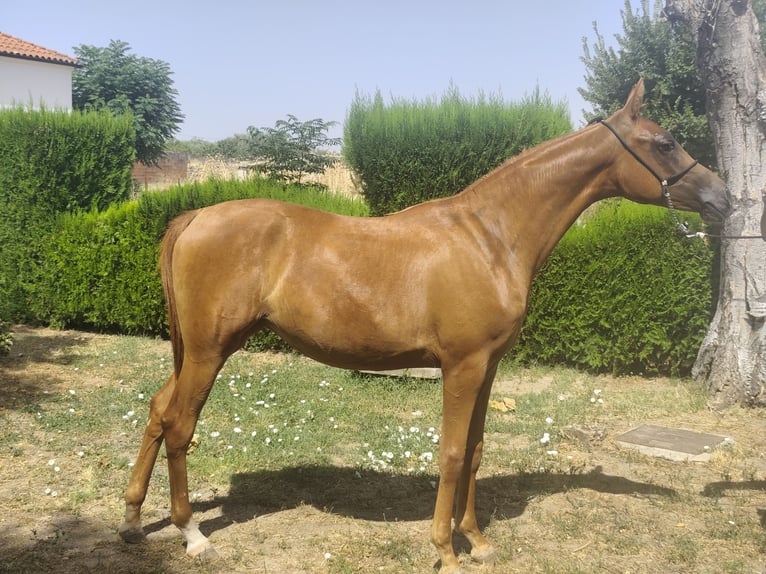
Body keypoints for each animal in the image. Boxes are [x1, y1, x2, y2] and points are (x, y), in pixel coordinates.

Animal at [119, 79, 729, 573]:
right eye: (664, 142)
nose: (722, 196)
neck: (490, 236)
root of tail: (195, 216)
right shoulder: (462, 366)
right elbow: (453, 452)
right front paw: (445, 550)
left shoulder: (488, 367)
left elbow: (477, 449)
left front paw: (477, 541)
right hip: (210, 350)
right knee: (179, 425)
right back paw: (192, 533)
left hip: (201, 350)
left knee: (157, 410)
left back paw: (131, 521)